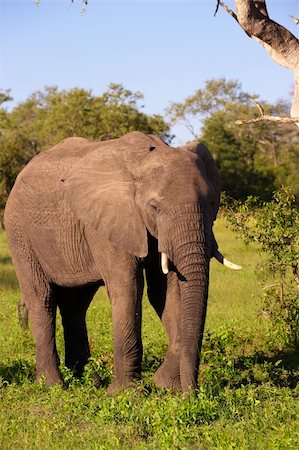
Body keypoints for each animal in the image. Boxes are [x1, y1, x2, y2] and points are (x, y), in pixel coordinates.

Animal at [4, 131, 241, 394]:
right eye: (154, 207)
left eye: (212, 203)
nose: (192, 394)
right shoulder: (108, 222)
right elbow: (129, 288)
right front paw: (129, 393)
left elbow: (164, 292)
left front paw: (165, 384)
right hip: (19, 233)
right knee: (42, 298)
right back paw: (53, 386)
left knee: (76, 305)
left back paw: (90, 382)